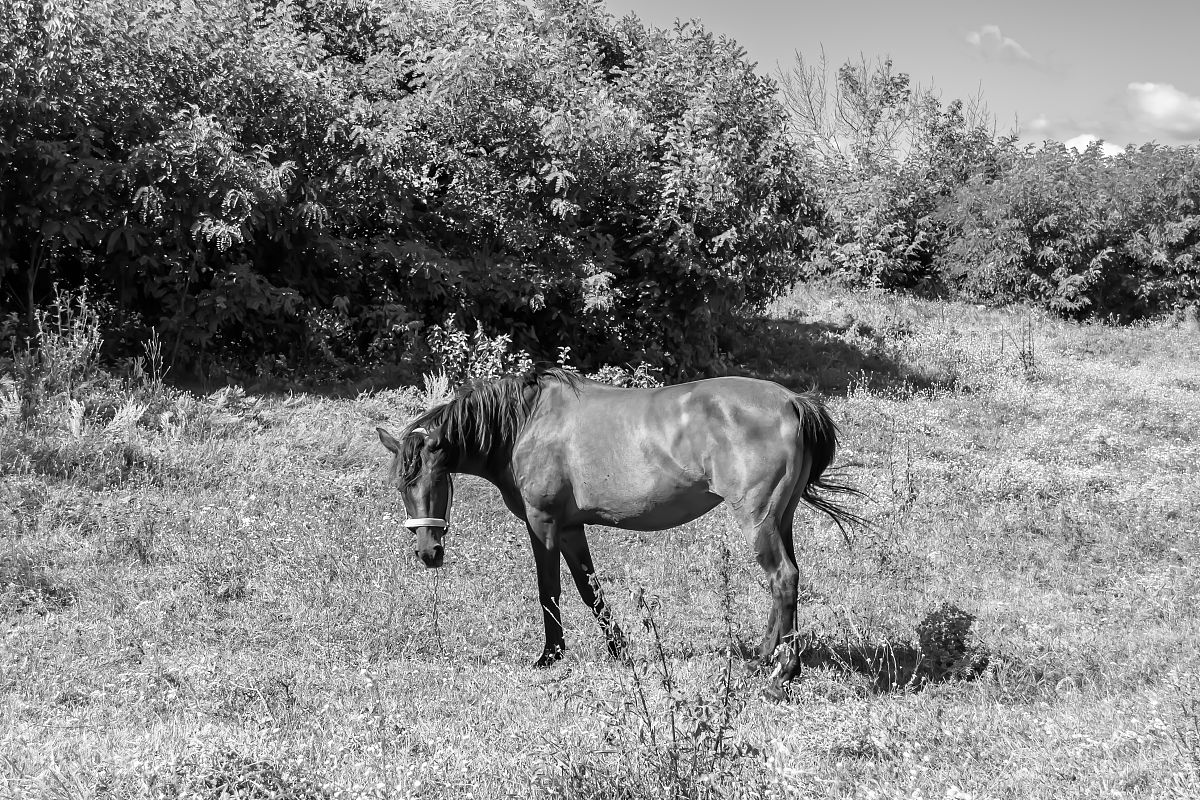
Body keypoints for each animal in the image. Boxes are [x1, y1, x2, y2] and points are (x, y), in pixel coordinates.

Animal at [376, 366, 861, 683]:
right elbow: (589, 591)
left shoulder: (543, 523)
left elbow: (549, 590)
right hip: (782, 518)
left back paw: (781, 670)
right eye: (401, 484)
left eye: (436, 478)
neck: (526, 424)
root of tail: (792, 402)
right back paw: (766, 655)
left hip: (758, 520)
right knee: (789, 582)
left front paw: (550, 655)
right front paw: (619, 650)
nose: (428, 552)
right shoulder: (570, 528)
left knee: (783, 578)